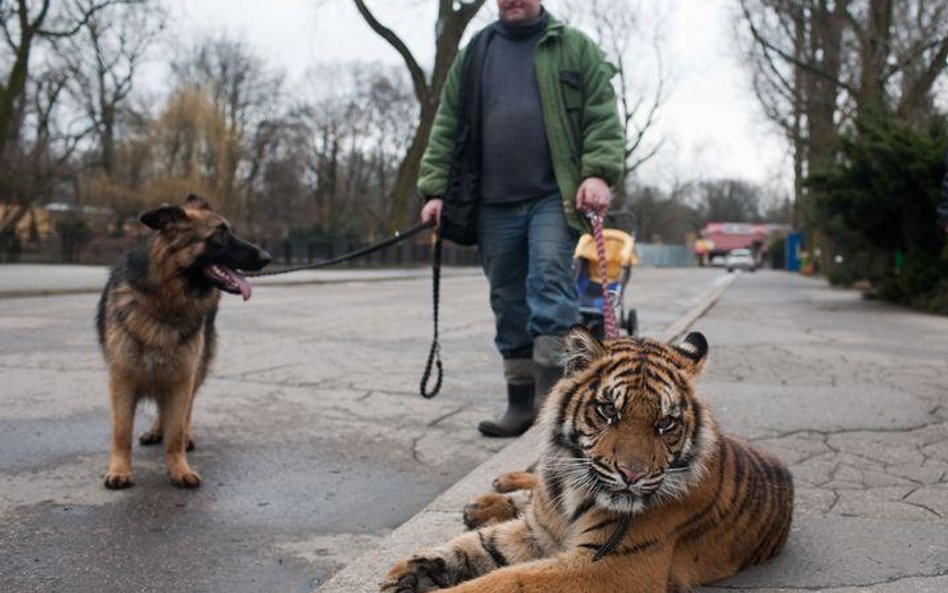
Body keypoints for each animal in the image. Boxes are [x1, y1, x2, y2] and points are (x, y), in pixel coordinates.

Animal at [96, 197, 270, 488]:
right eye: (219, 234)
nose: (267, 257)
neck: (165, 303)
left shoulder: (181, 377)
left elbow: (176, 429)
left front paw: (179, 468)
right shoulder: (123, 377)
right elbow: (121, 431)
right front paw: (119, 470)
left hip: (195, 369)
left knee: (185, 411)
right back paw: (156, 431)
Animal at [380, 326, 792, 588]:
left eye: (665, 423)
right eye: (608, 411)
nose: (632, 475)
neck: (570, 492)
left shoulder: (611, 565)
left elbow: (507, 580)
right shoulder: (537, 530)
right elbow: (477, 546)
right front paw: (411, 569)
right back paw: (491, 495)